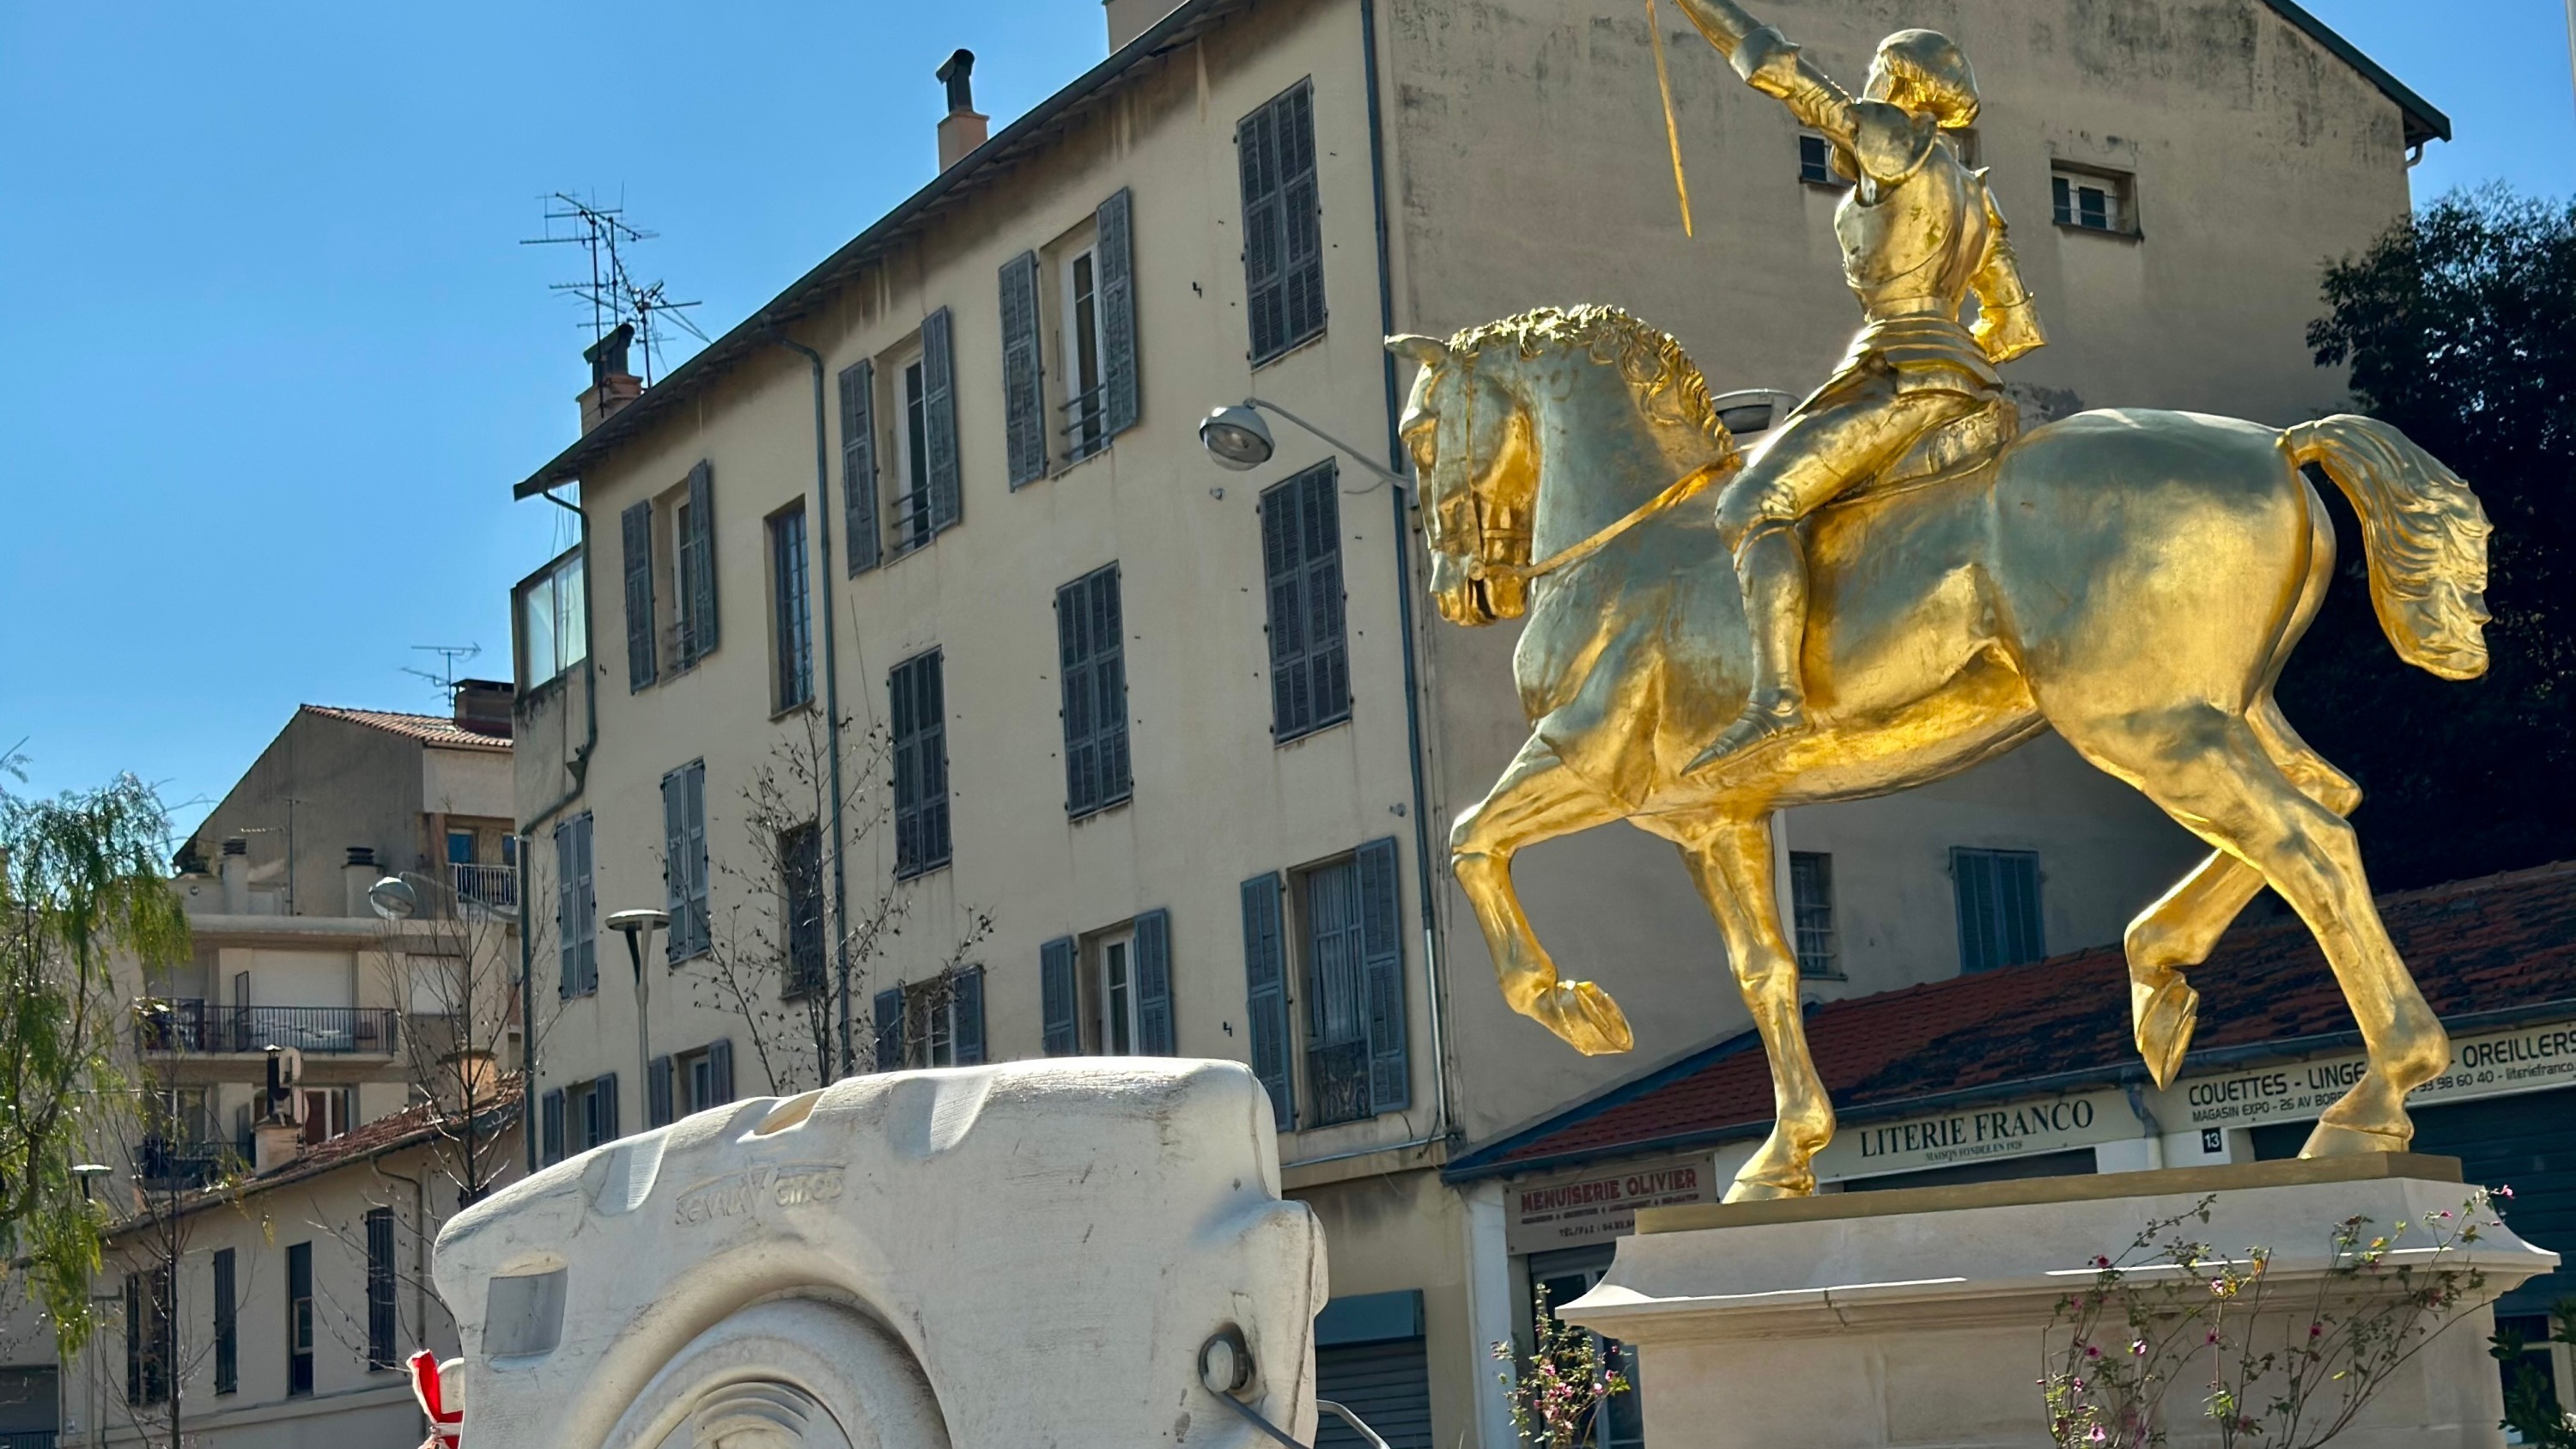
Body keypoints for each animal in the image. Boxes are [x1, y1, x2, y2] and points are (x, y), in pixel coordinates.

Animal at [1401, 304, 2483, 1196]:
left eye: (1417, 430)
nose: (1457, 591)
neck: (1626, 546)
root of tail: (2279, 444)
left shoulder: (1586, 762)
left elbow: (1468, 841)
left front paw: (1577, 1009)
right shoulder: (1712, 818)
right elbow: (1766, 970)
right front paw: (1782, 1157)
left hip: (2148, 725)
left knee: (2308, 844)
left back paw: (2372, 1100)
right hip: (2225, 711)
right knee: (2325, 802)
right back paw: (2160, 978)